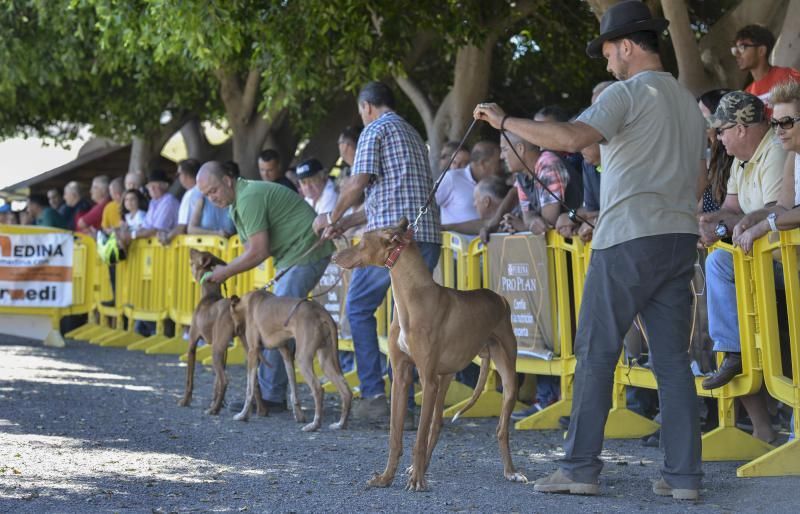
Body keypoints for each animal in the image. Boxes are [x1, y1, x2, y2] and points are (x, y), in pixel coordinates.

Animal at [179, 249, 268, 416]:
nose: (191, 249)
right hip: (244, 347)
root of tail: (234, 308)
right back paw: (261, 410)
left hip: (215, 351)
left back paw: (214, 410)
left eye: (198, 254)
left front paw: (185, 401)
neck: (209, 295)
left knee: (225, 380)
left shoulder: (192, 344)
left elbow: (189, 379)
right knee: (254, 382)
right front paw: (215, 401)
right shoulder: (224, 348)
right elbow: (216, 384)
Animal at [225, 288, 350, 428]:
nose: (235, 331)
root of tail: (320, 310)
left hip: (302, 359)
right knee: (346, 390)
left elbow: (249, 390)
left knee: (318, 389)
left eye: (230, 314)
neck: (249, 302)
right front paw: (299, 415)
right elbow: (293, 388)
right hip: (325, 360)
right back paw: (340, 424)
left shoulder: (253, 352)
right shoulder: (286, 353)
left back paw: (314, 424)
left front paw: (243, 415)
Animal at [332, 215, 524, 488]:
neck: (410, 300)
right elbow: (395, 435)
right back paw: (418, 467)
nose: (333, 257)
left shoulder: (427, 379)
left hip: (506, 375)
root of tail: (500, 298)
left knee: (501, 428)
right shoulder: (401, 377)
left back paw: (510, 470)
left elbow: (419, 438)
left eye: (362, 243)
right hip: (445, 377)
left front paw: (417, 481)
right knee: (437, 423)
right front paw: (386, 477)